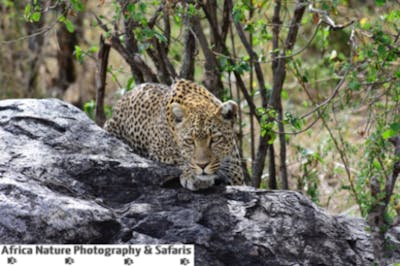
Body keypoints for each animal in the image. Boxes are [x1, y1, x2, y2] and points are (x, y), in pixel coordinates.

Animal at [103, 79, 245, 191]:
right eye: (190, 141)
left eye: (215, 139)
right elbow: (181, 158)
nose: (202, 166)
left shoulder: (235, 170)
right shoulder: (159, 150)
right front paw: (195, 177)